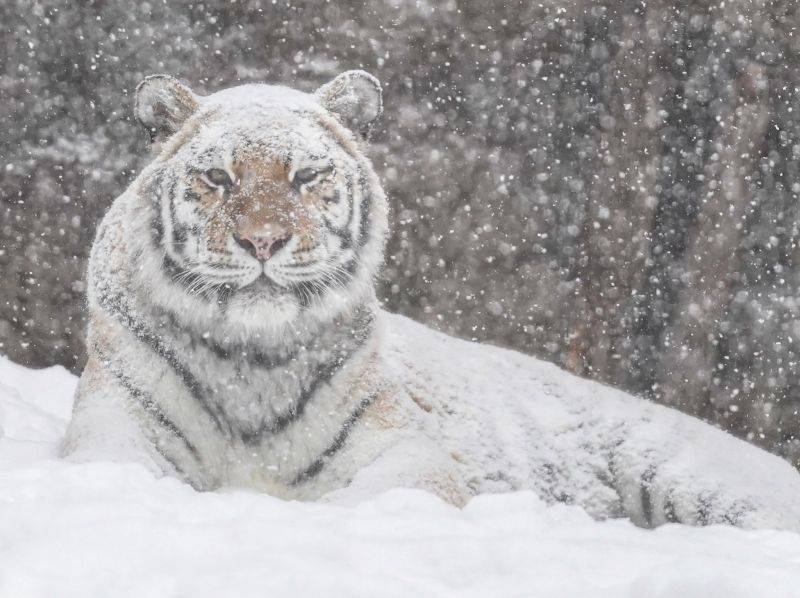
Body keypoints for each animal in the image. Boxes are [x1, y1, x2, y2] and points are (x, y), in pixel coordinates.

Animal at [59, 71, 800, 536]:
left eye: (307, 175)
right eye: (217, 177)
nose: (264, 240)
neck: (251, 358)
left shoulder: (404, 450)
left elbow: (362, 502)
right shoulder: (117, 421)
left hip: (687, 472)